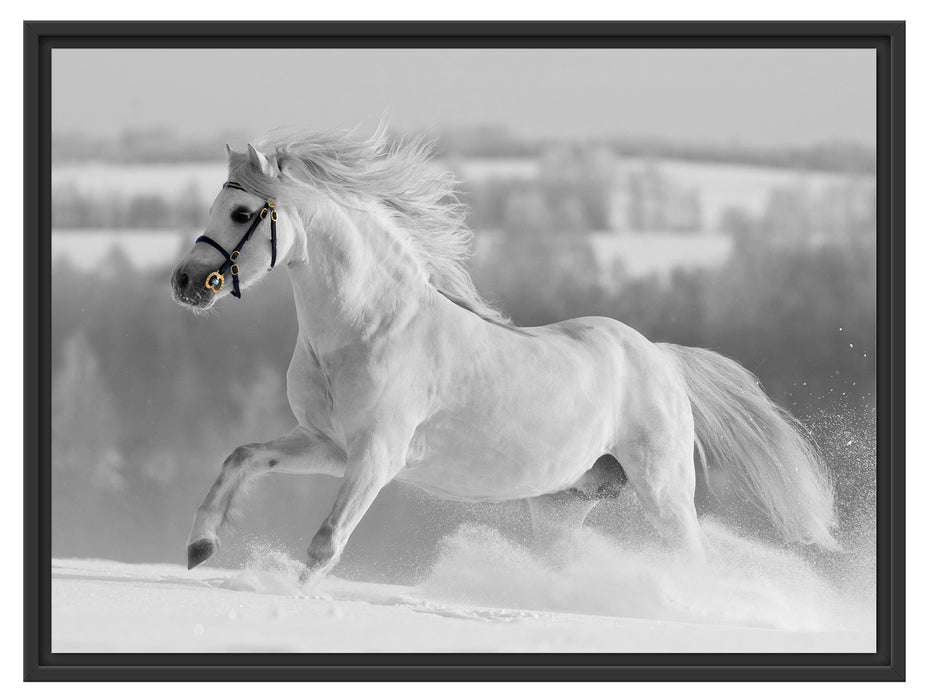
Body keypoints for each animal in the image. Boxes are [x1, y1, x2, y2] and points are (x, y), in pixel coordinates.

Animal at [171, 129, 840, 576]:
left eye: (240, 211)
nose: (187, 282)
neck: (369, 329)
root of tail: (660, 359)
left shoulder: (378, 456)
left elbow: (326, 544)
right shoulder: (329, 446)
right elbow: (242, 456)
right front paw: (200, 548)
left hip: (665, 493)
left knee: (692, 559)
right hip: (569, 500)